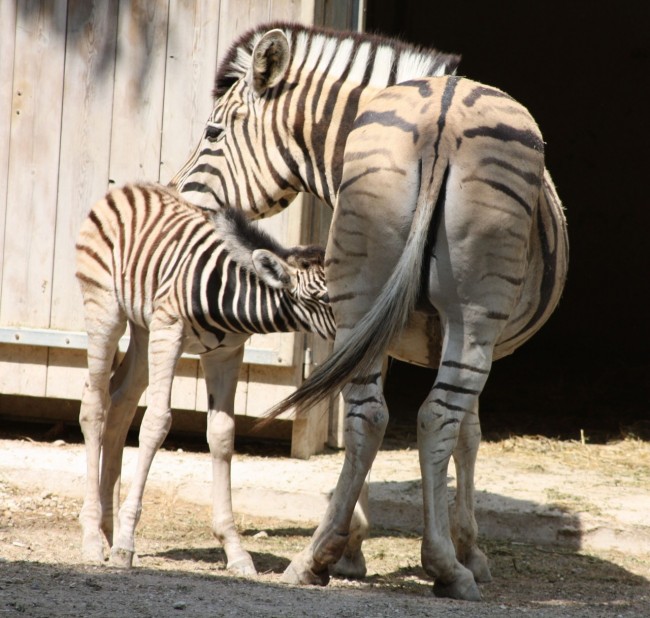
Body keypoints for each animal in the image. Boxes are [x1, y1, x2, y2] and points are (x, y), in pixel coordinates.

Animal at [75, 183, 334, 574]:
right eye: (321, 298)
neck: (232, 295)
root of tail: (127, 187)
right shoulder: (169, 332)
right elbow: (157, 423)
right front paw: (125, 545)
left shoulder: (226, 354)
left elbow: (223, 434)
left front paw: (235, 550)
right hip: (105, 310)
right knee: (95, 404)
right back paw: (93, 539)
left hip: (144, 329)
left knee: (120, 402)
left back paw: (109, 529)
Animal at [170, 23, 568, 601]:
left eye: (213, 132)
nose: (176, 201)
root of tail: (442, 120)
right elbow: (466, 434)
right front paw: (469, 550)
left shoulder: (361, 324)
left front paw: (350, 545)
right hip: (472, 316)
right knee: (434, 417)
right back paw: (444, 567)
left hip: (370, 295)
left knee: (369, 416)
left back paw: (316, 559)